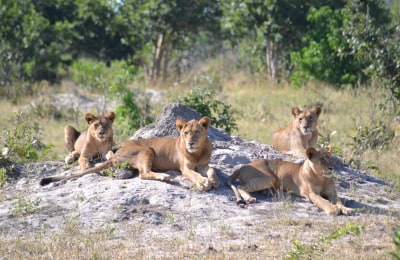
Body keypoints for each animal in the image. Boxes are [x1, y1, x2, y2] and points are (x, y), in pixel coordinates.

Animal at [40, 117, 220, 192]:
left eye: (196, 132)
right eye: (186, 133)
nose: (190, 143)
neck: (197, 152)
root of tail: (116, 153)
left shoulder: (203, 165)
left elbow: (212, 170)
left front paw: (213, 181)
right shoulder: (185, 168)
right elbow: (195, 175)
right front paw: (204, 182)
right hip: (147, 150)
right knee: (143, 174)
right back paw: (164, 177)